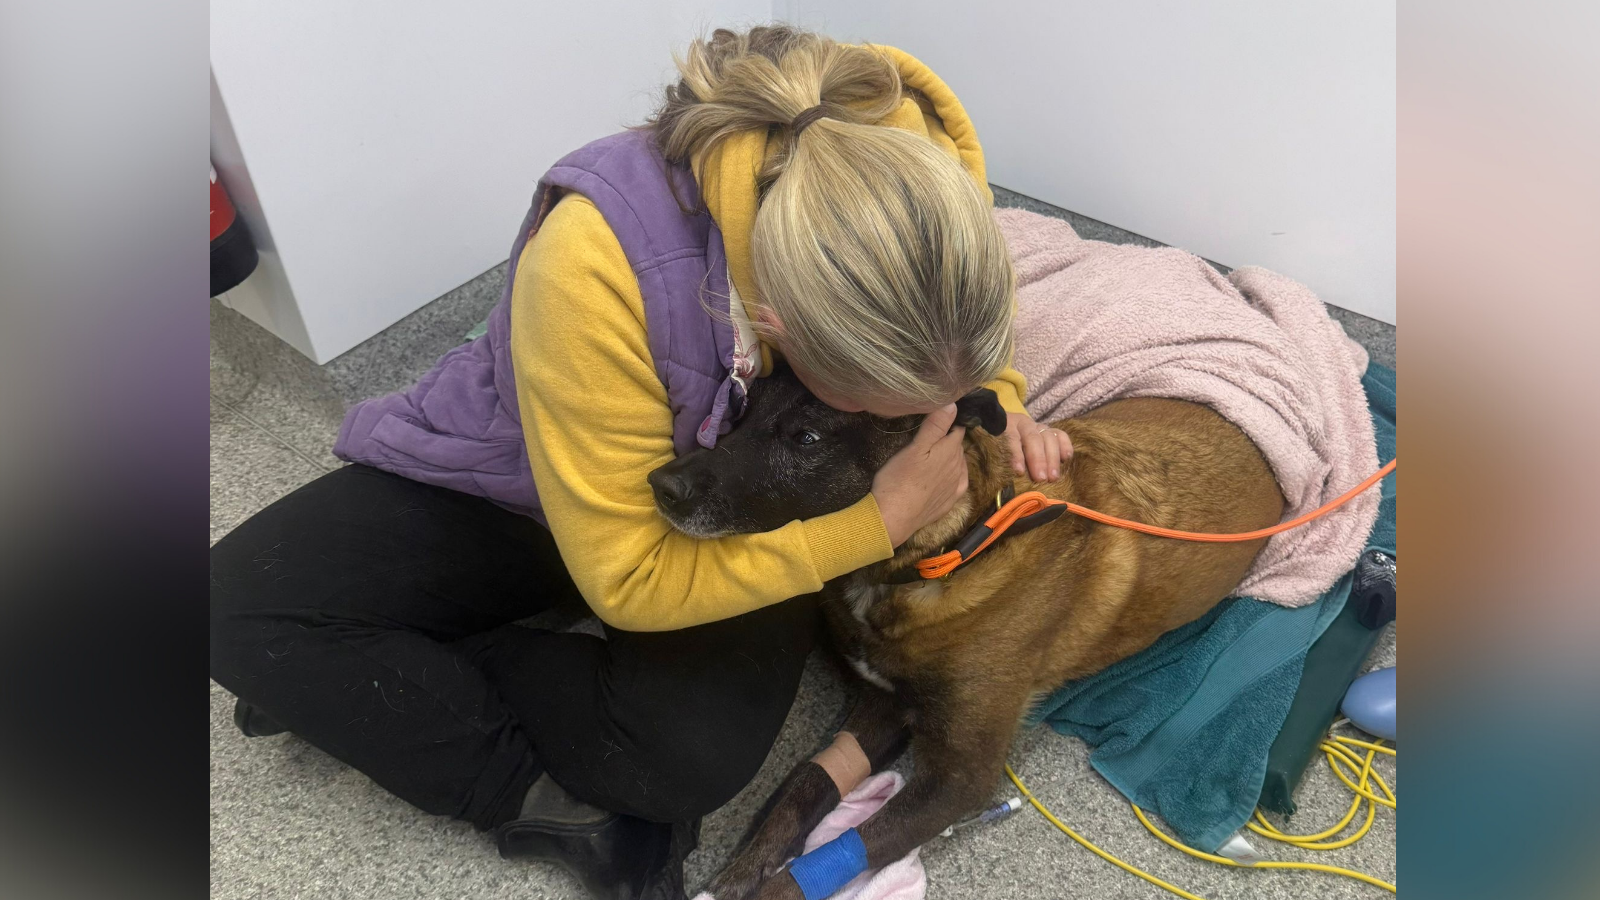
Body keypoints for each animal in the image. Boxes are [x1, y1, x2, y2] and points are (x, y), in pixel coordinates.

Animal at [643, 366, 1280, 896]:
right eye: (742, 412)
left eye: (807, 439)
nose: (661, 484)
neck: (951, 549)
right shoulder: (882, 702)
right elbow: (806, 781)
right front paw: (743, 866)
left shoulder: (961, 778)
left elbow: (814, 869)